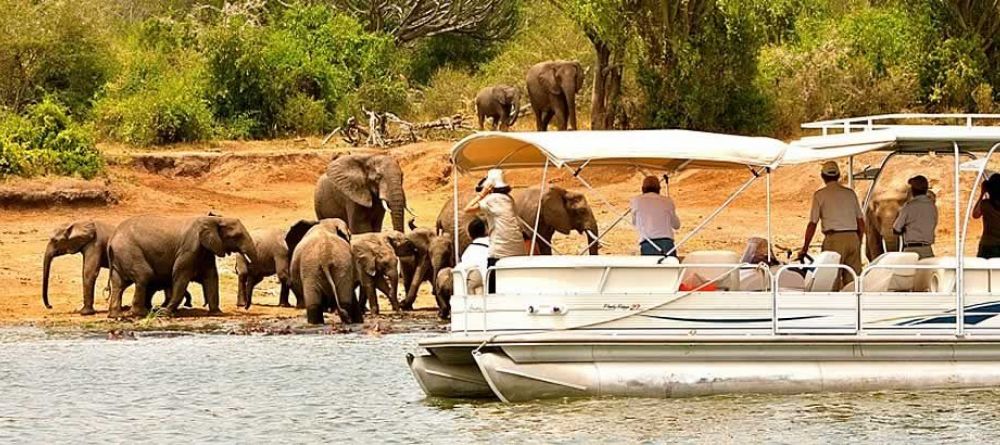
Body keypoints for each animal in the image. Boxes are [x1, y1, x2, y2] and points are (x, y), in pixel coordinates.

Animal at [102, 213, 254, 318]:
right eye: (237, 236)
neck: (214, 220)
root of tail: (112, 240)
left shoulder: (206, 250)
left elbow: (211, 277)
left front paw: (217, 313)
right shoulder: (190, 248)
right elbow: (180, 276)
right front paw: (165, 313)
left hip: (121, 256)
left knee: (118, 284)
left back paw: (117, 316)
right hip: (129, 251)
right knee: (144, 276)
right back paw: (141, 313)